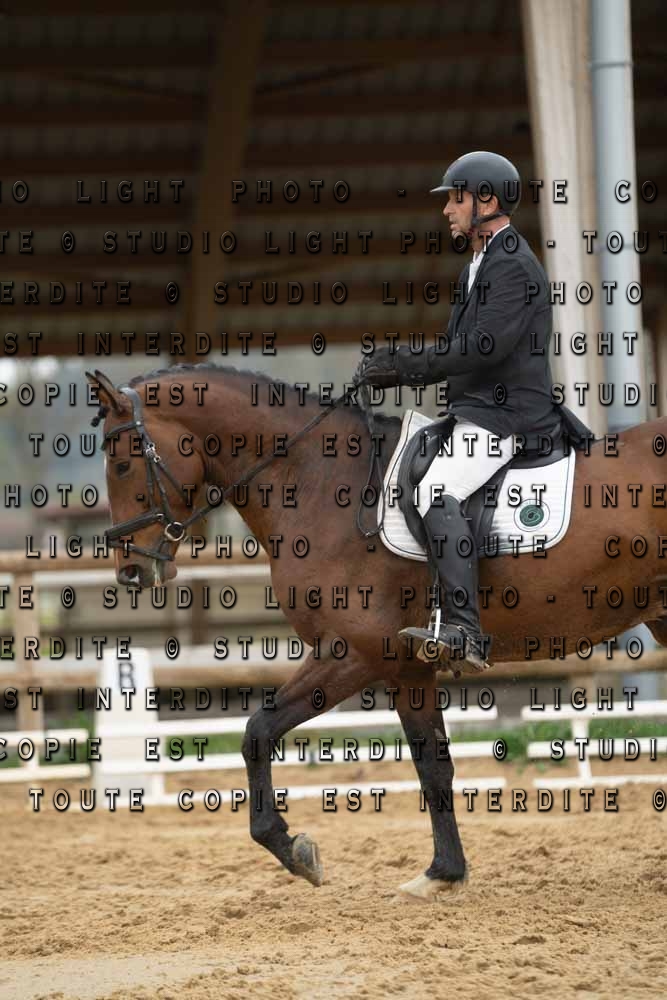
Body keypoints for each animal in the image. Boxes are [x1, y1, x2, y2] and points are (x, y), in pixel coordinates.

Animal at [87, 363, 667, 899]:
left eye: (122, 463)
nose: (130, 571)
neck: (320, 483)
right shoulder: (406, 668)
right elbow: (433, 766)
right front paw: (443, 873)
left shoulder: (353, 653)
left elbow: (257, 731)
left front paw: (292, 848)